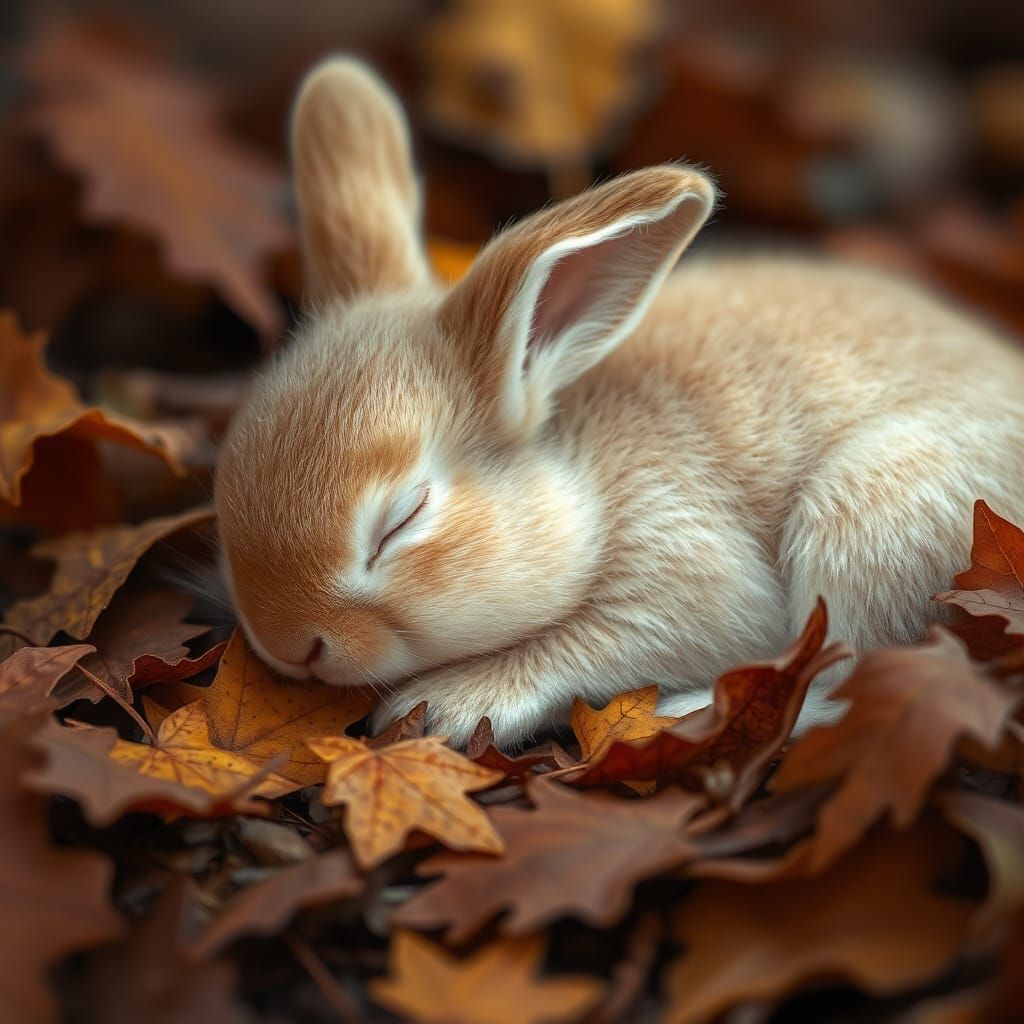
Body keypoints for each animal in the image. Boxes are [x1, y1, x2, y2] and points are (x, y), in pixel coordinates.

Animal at [214, 56, 1024, 747]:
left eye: (403, 518)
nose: (290, 645)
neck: (585, 475)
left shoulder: (681, 570)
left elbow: (597, 641)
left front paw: (447, 704)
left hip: (868, 511)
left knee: (849, 681)